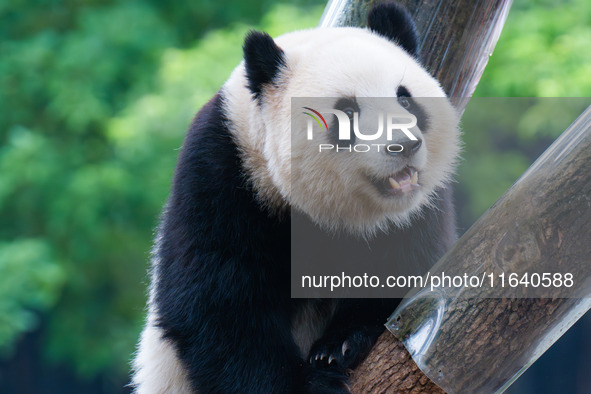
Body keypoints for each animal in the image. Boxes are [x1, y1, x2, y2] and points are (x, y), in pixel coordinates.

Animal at [132, 1, 460, 392]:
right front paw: (312, 382)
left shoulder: (417, 212)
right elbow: (218, 304)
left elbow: (408, 271)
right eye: (347, 111)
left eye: (405, 99)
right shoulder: (223, 176)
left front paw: (339, 345)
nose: (404, 145)